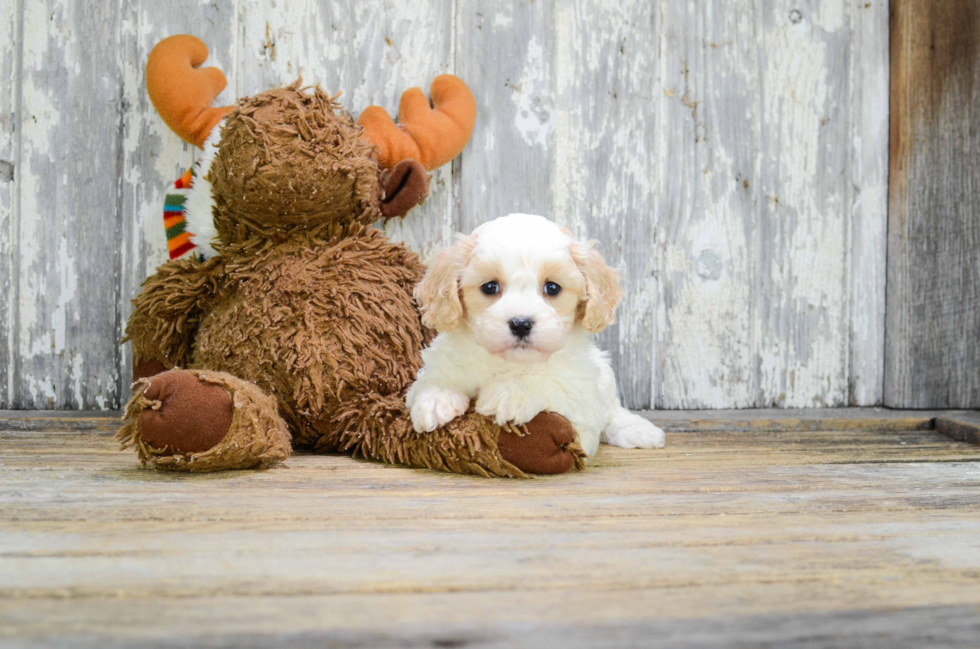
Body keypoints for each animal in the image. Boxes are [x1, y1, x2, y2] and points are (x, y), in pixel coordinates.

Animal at [406, 213, 668, 456]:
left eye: (552, 287)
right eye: (490, 287)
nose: (521, 324)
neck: (509, 362)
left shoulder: (581, 402)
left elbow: (551, 384)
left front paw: (509, 393)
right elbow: (432, 380)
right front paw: (436, 399)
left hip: (604, 374)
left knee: (611, 410)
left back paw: (637, 429)